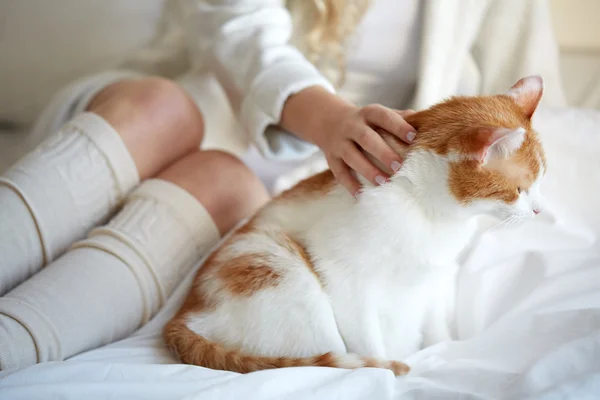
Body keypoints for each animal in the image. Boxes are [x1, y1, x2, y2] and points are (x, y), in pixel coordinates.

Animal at [164, 75, 548, 376]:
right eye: (519, 190)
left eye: (541, 180)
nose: (539, 210)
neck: (427, 213)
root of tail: (183, 314)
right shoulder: (345, 278)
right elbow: (370, 344)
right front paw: (388, 370)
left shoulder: (435, 279)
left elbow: (438, 329)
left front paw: (446, 353)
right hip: (284, 271)